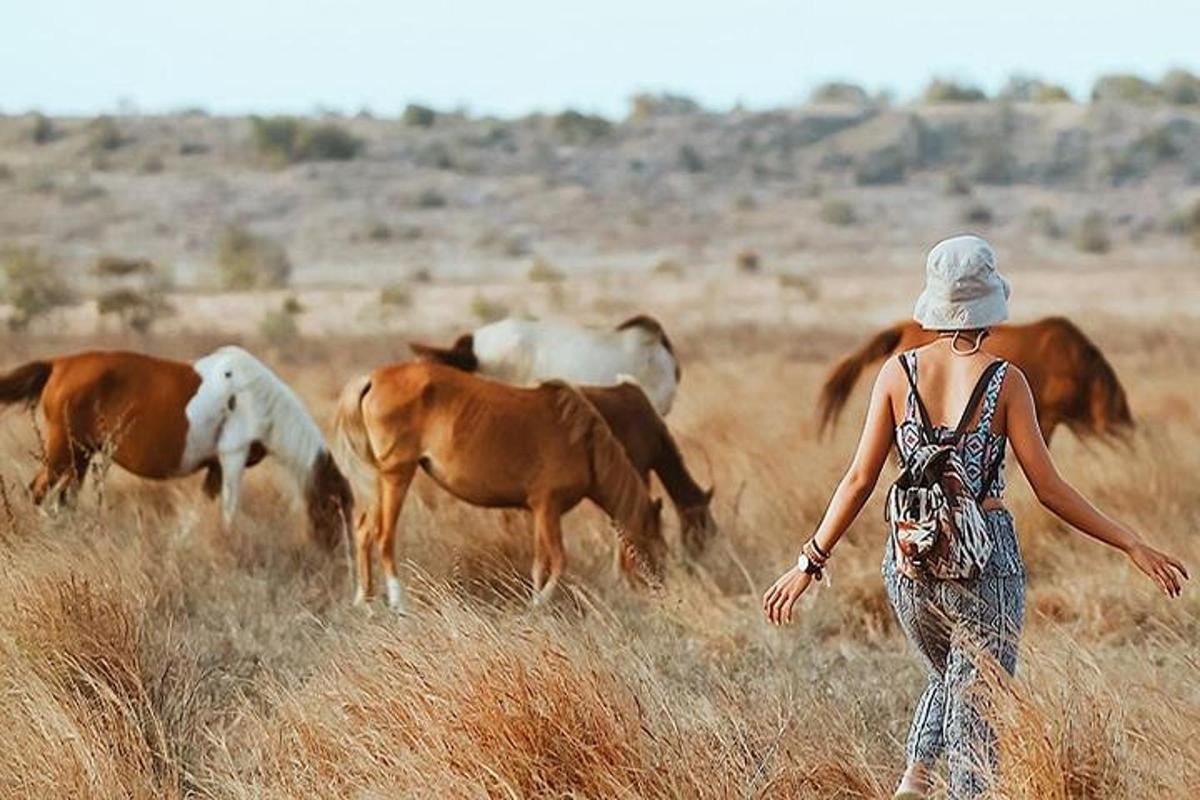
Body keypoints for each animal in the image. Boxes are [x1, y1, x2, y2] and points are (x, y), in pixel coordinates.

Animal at [336, 359, 667, 609]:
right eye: (656, 547)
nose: (658, 590)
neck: (582, 441)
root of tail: (372, 379)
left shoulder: (540, 512)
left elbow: (540, 563)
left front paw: (536, 601)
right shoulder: (548, 507)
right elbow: (559, 561)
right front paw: (538, 605)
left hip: (378, 481)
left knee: (364, 532)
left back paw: (365, 602)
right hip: (396, 476)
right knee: (383, 536)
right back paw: (398, 603)